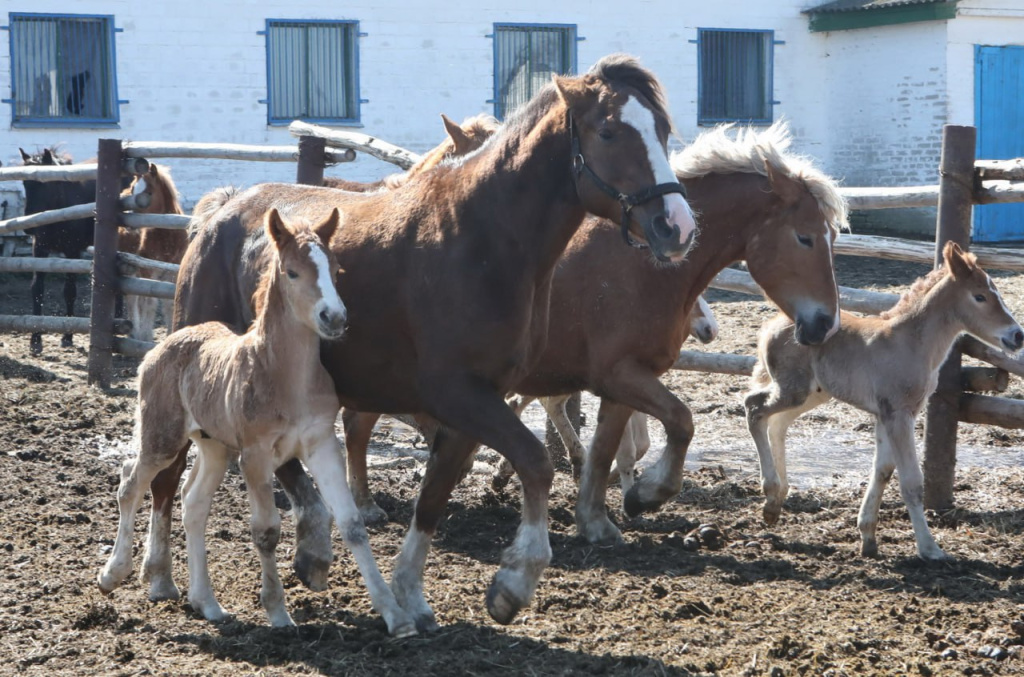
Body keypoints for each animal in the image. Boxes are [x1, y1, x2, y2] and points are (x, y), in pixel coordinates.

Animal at [18, 147, 94, 354]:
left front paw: (67, 336)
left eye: (46, 184)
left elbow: (69, 291)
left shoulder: (72, 252)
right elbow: (37, 289)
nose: (29, 227)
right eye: (25, 183)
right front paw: (35, 339)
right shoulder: (40, 250)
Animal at [96, 208, 415, 635]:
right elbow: (266, 531)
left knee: (193, 503)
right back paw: (112, 574)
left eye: (335, 269)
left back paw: (207, 603)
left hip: (214, 446)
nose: (334, 317)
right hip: (163, 435)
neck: (285, 376)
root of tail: (160, 347)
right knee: (131, 481)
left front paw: (395, 615)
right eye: (293, 272)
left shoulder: (321, 444)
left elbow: (351, 524)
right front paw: (278, 613)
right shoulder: (256, 455)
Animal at [159, 54, 700, 635]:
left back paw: (313, 550)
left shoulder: (478, 400)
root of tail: (219, 212)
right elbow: (536, 463)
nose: (677, 227)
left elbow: (435, 496)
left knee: (284, 473)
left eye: (662, 130)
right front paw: (513, 583)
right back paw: (156, 576)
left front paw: (410, 594)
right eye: (608, 131)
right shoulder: (457, 393)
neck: (483, 240)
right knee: (166, 478)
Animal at [745, 242, 1024, 561]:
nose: (1017, 336)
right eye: (979, 297)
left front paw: (868, 537)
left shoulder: (890, 414)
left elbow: (883, 470)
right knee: (754, 407)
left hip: (813, 392)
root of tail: (771, 324)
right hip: (794, 389)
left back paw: (776, 502)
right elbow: (911, 482)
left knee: (776, 423)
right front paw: (930, 548)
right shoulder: (898, 413)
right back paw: (770, 494)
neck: (911, 343)